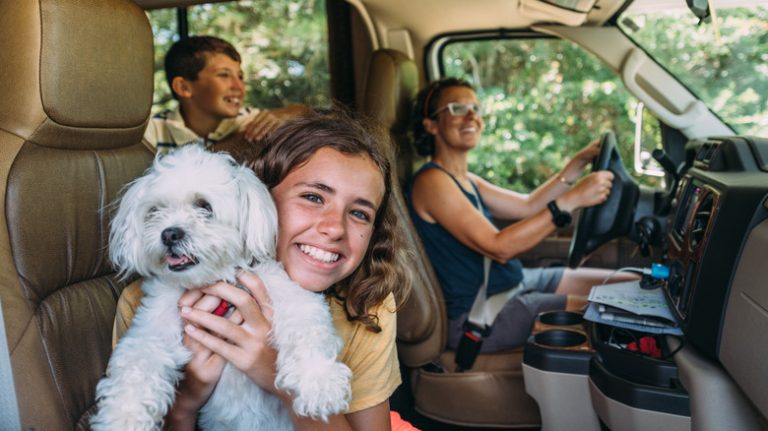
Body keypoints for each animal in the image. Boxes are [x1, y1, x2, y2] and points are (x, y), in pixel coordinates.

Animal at [91, 146, 352, 431]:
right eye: (155, 211)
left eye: (205, 207)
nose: (169, 234)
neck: (212, 282)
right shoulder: (151, 331)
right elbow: (137, 364)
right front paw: (123, 417)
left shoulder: (291, 296)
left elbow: (307, 330)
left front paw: (320, 382)